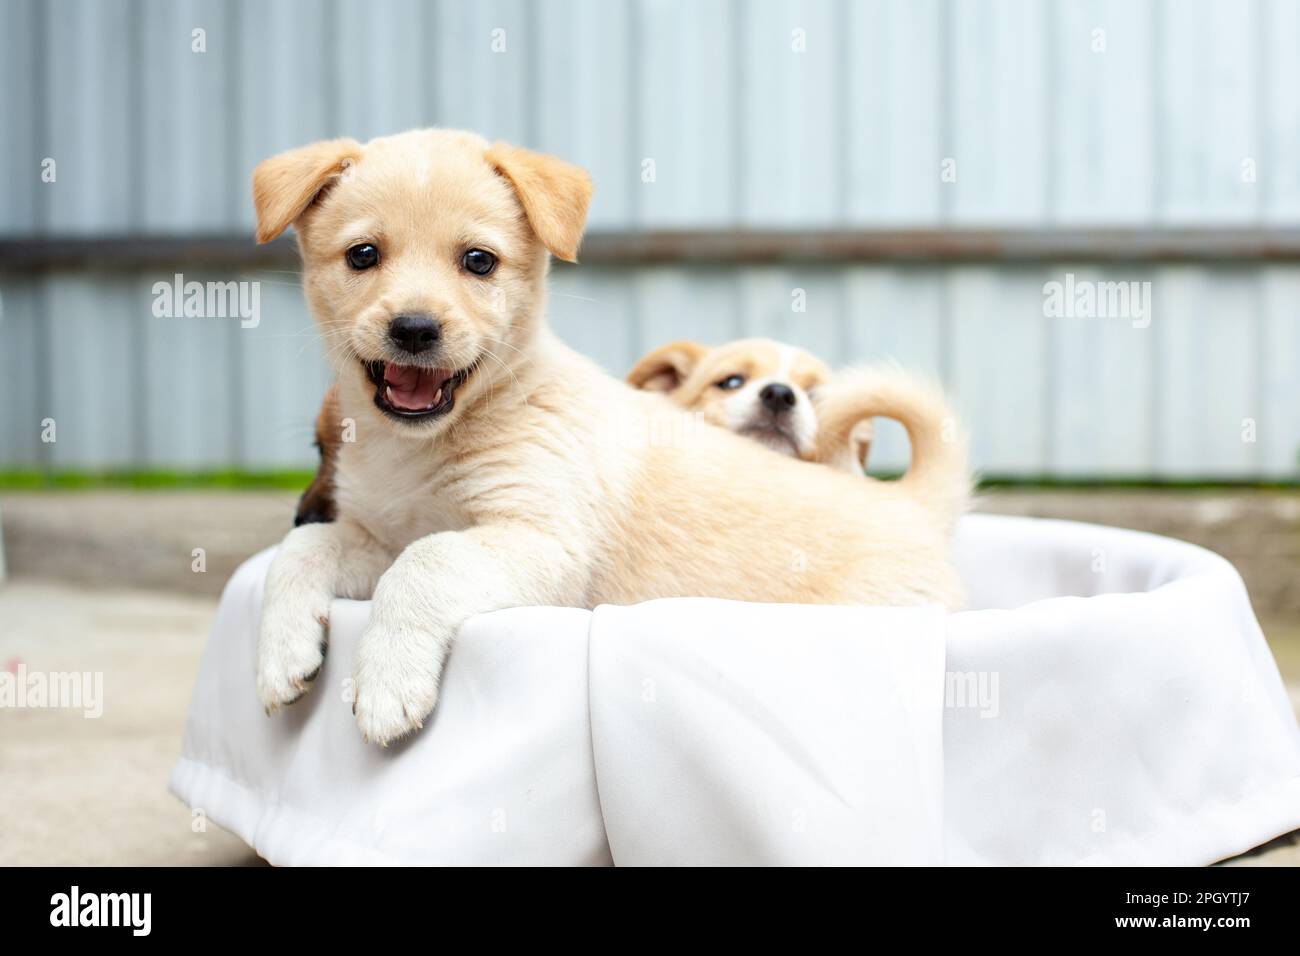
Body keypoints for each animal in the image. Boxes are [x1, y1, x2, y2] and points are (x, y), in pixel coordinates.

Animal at [253, 127, 972, 743]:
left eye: (478, 261)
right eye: (363, 255)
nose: (413, 328)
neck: (422, 446)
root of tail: (907, 502)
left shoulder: (544, 544)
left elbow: (426, 563)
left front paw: (386, 683)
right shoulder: (380, 534)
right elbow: (307, 547)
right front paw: (280, 652)